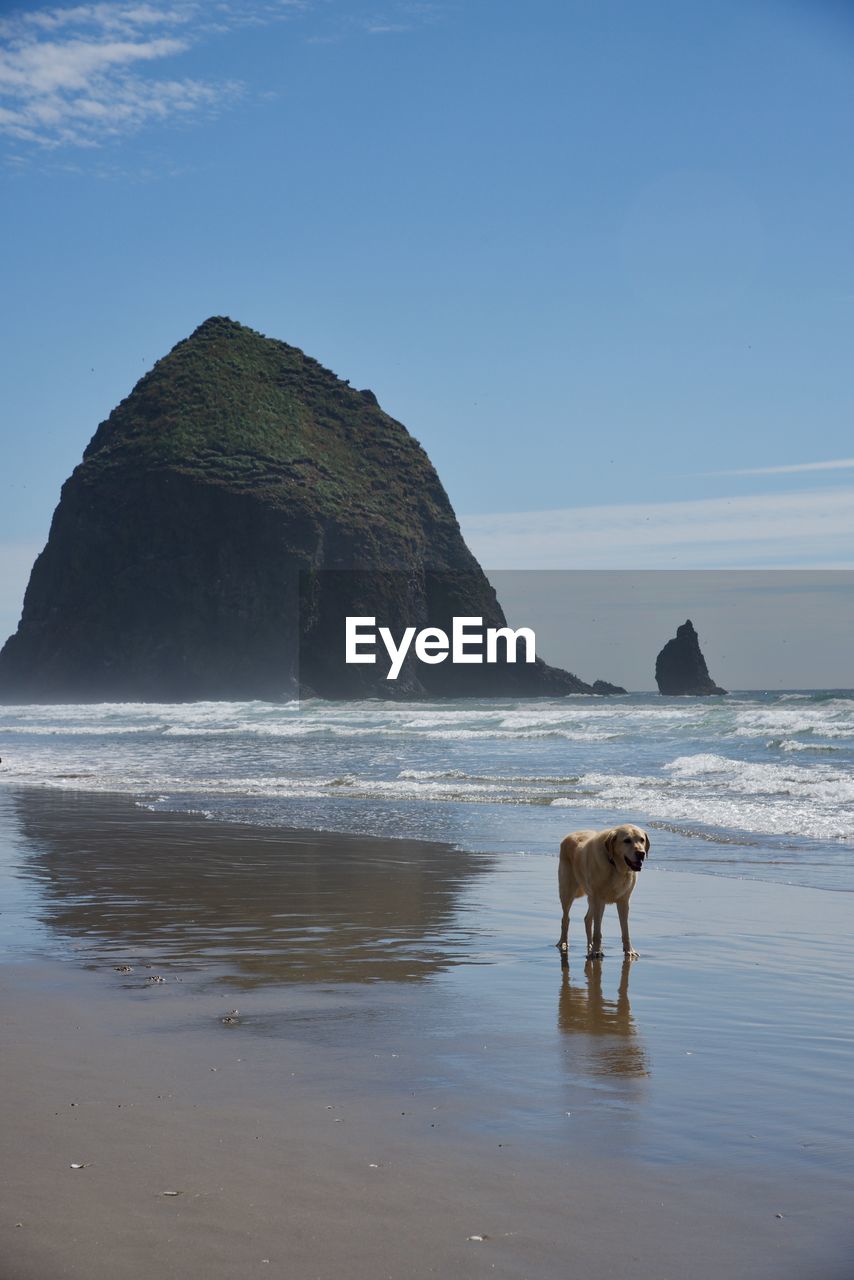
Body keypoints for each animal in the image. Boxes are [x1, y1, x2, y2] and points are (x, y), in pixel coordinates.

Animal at [558, 824, 650, 957]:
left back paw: (590, 946)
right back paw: (564, 943)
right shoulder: (599, 900)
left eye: (642, 840)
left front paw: (629, 950)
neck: (616, 866)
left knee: (587, 919)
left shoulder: (624, 901)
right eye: (627, 840)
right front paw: (596, 951)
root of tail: (568, 836)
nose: (641, 853)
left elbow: (625, 930)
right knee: (565, 919)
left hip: (591, 898)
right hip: (567, 891)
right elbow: (597, 931)